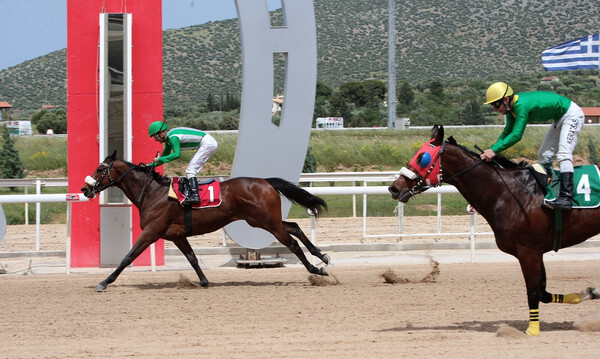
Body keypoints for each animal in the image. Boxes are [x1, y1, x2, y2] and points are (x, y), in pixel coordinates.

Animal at [81, 152, 330, 292]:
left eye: (100, 168)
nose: (85, 189)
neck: (152, 193)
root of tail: (266, 182)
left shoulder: (152, 232)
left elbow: (128, 257)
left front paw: (105, 281)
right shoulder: (177, 235)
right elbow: (192, 258)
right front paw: (203, 281)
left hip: (267, 222)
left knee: (292, 242)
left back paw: (315, 269)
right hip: (265, 221)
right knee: (295, 228)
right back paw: (322, 256)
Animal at [386, 125, 596, 336]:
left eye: (422, 157)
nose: (394, 188)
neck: (509, 192)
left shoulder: (528, 251)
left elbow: (534, 292)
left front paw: (532, 330)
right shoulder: (537, 251)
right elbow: (543, 293)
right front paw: (589, 293)